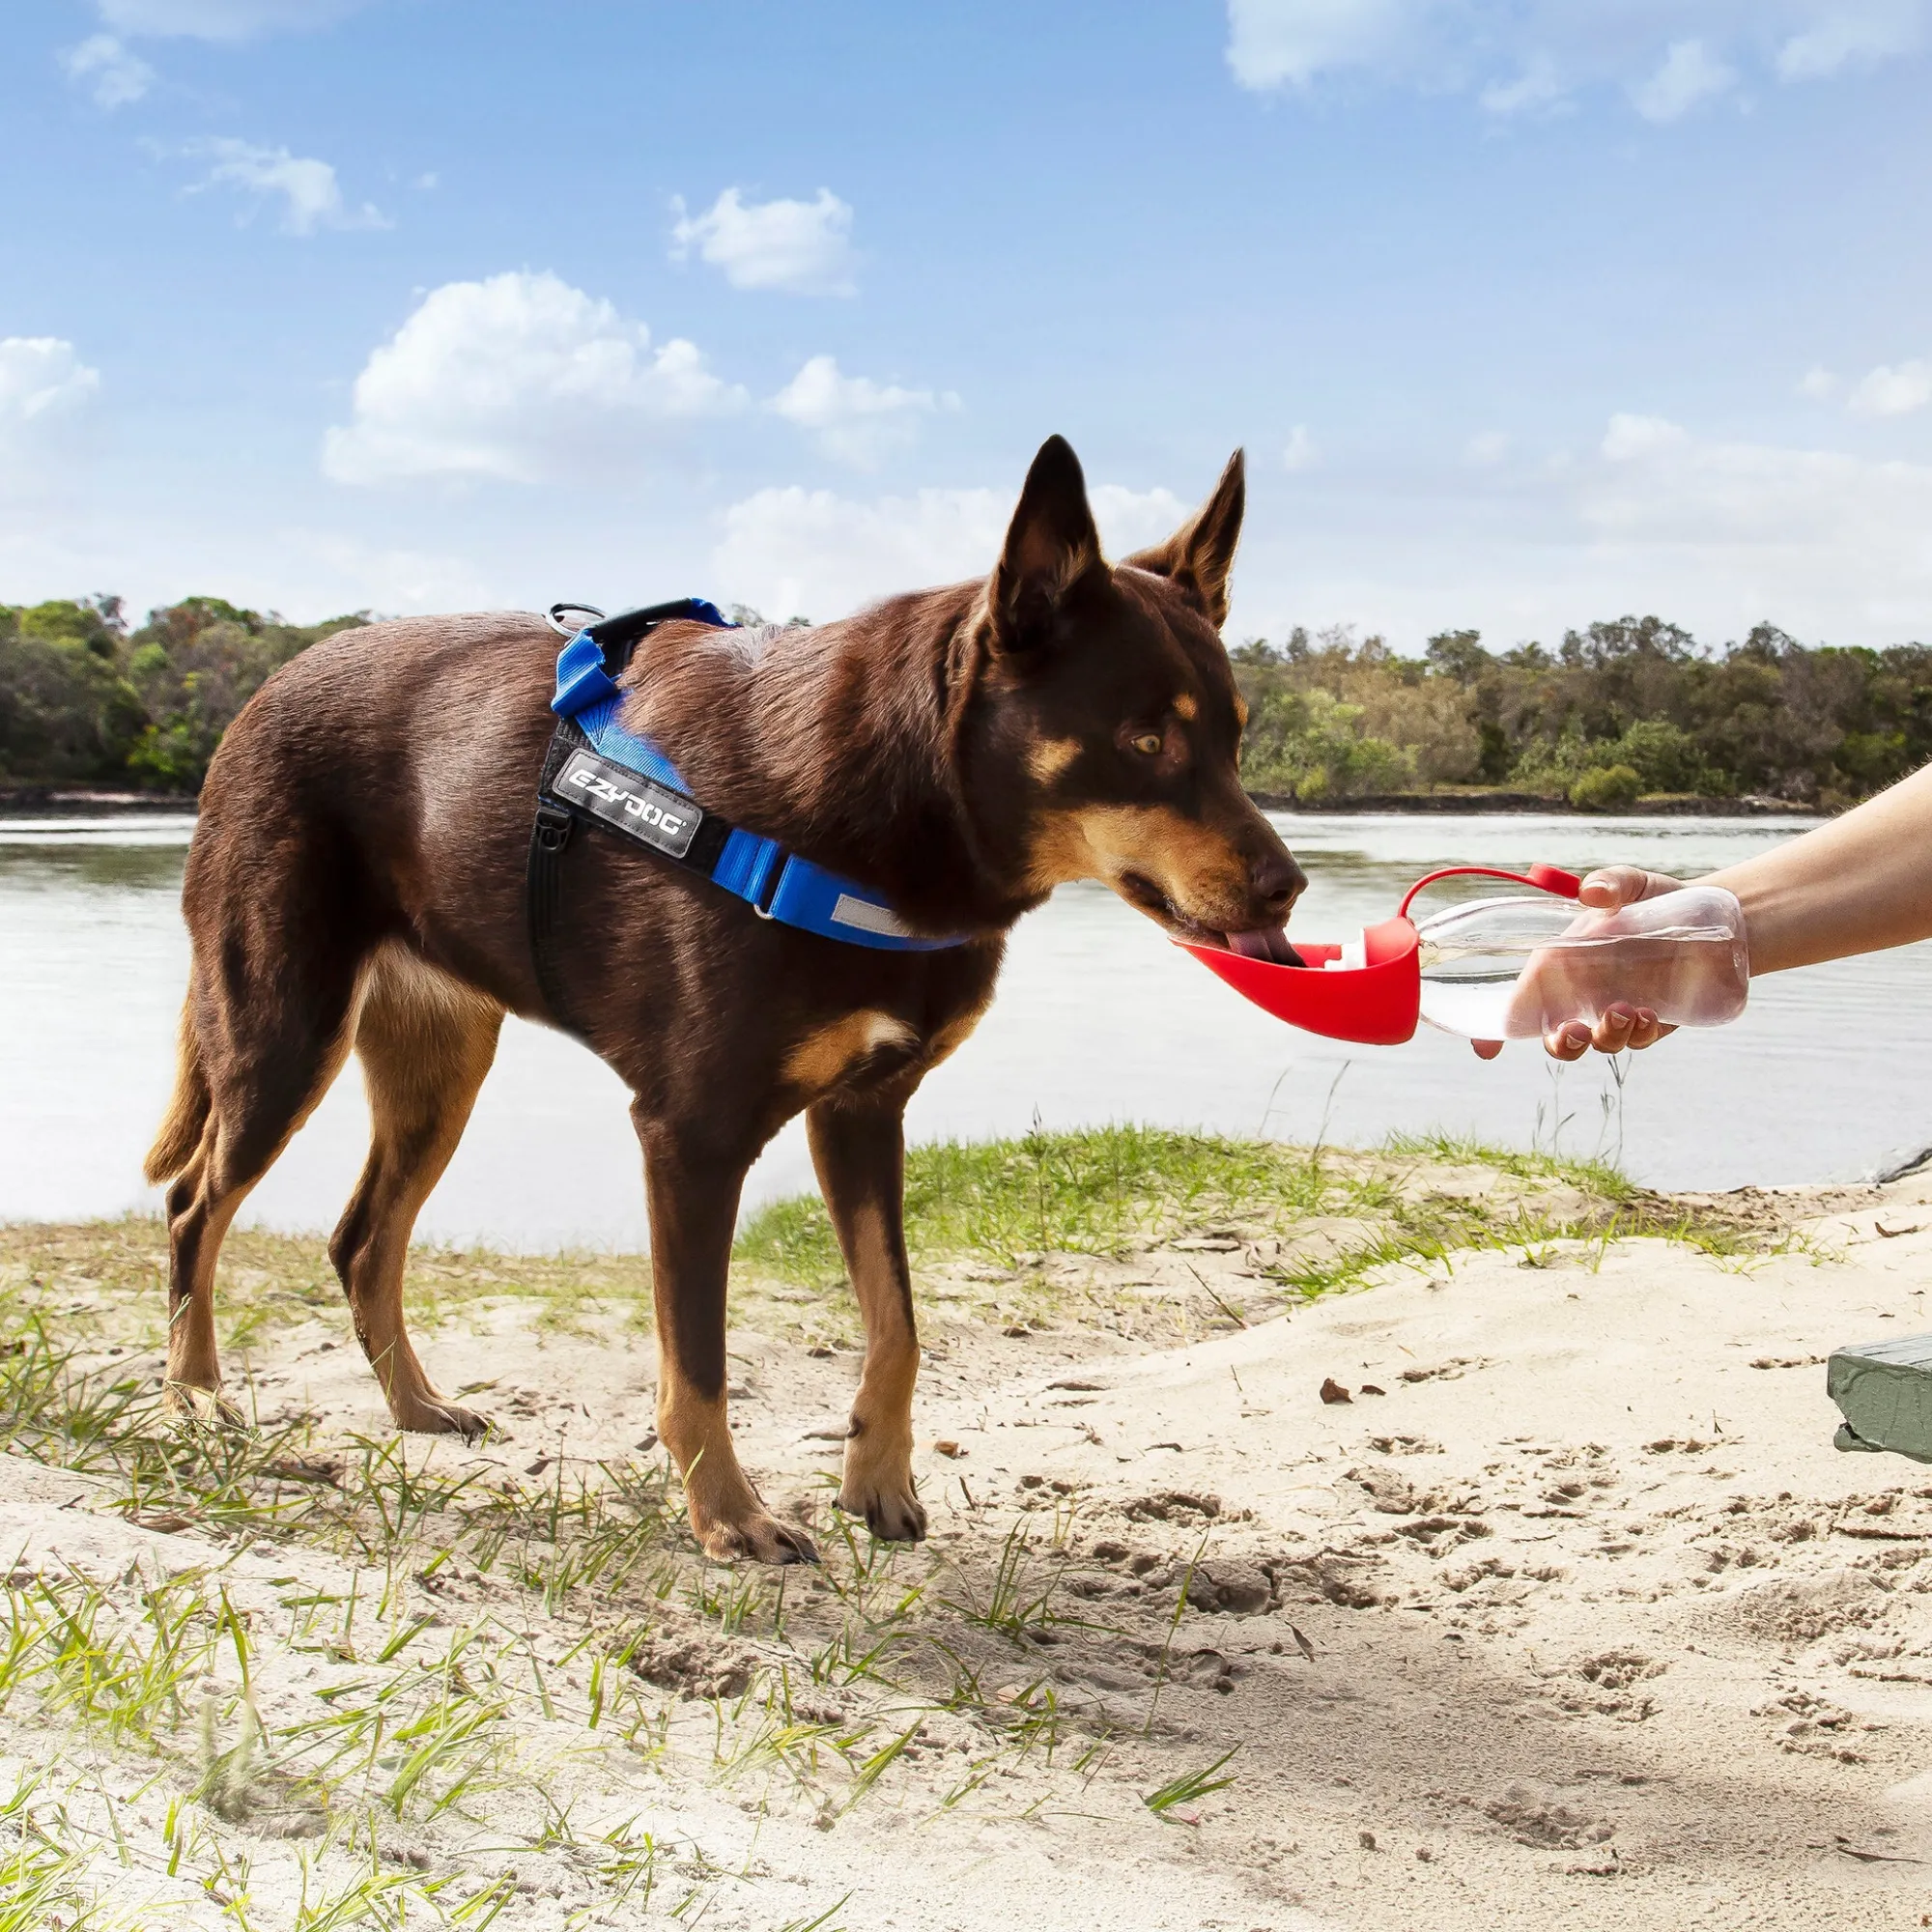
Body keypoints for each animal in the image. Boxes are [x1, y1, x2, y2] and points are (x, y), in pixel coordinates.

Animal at [143, 435, 1306, 1553]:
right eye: (1144, 739)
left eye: (1235, 738)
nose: (1287, 887)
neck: (896, 809)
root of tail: (267, 689)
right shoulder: (691, 1135)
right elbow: (698, 1360)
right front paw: (727, 1517)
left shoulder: (863, 1111)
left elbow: (898, 1324)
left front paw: (876, 1480)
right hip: (282, 1031)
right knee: (197, 1204)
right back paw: (195, 1396)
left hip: (439, 1073)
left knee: (360, 1239)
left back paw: (413, 1406)